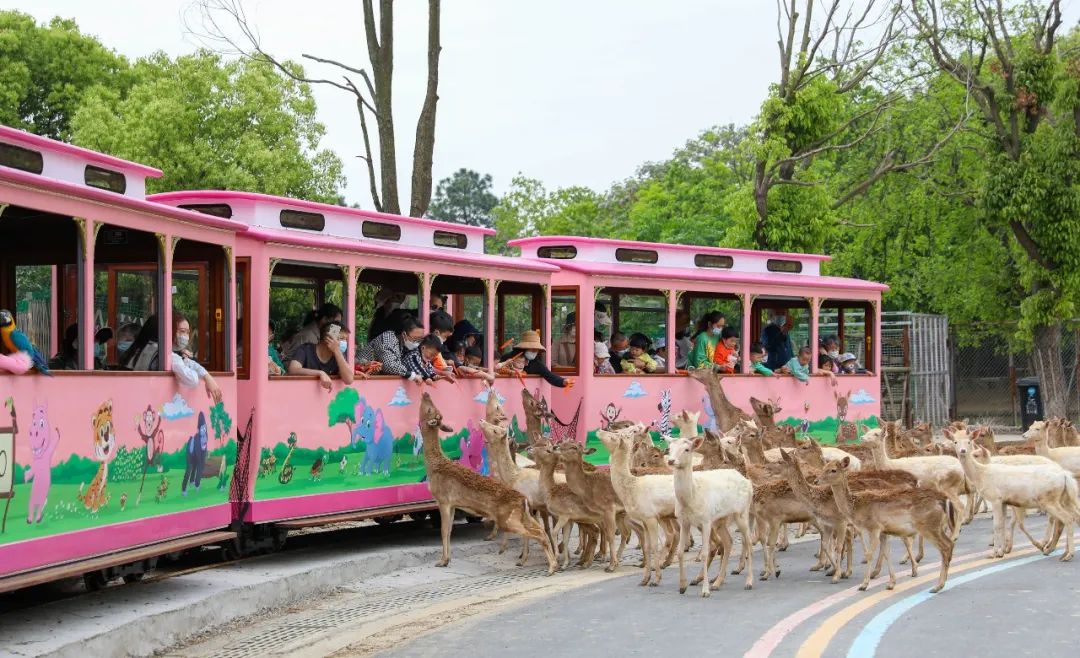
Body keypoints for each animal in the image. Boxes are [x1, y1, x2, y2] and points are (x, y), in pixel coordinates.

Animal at [416, 393, 557, 570]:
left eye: (429, 409)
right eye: (434, 409)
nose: (425, 394)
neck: (435, 467)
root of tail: (523, 500)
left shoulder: (443, 499)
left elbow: (443, 531)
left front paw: (442, 561)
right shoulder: (453, 503)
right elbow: (448, 532)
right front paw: (447, 559)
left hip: (508, 519)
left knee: (539, 532)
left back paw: (551, 566)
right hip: (523, 515)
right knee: (541, 530)